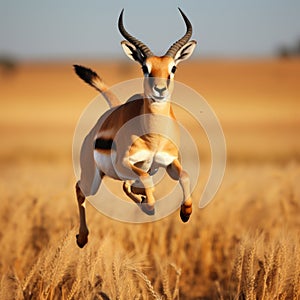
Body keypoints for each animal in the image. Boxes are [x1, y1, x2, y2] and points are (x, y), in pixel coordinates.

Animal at [74, 8, 197, 247]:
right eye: (145, 67)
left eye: (173, 68)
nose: (159, 90)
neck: (154, 138)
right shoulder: (126, 162)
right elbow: (147, 183)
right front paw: (149, 207)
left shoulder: (169, 162)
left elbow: (185, 175)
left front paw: (185, 212)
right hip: (94, 178)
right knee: (80, 189)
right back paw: (82, 238)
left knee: (129, 185)